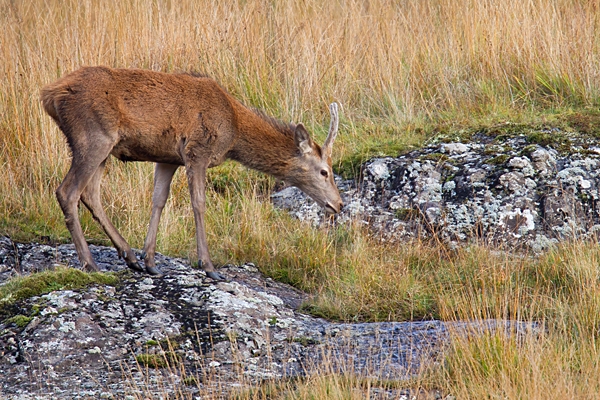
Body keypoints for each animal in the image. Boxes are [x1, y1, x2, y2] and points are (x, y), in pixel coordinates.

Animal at [41, 65, 342, 280]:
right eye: (324, 171)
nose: (338, 204)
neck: (234, 131)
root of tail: (49, 95)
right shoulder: (197, 151)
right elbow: (198, 203)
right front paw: (208, 266)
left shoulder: (168, 158)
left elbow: (158, 200)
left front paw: (150, 261)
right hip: (93, 136)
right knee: (67, 191)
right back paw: (90, 263)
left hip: (103, 147)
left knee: (90, 194)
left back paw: (129, 256)